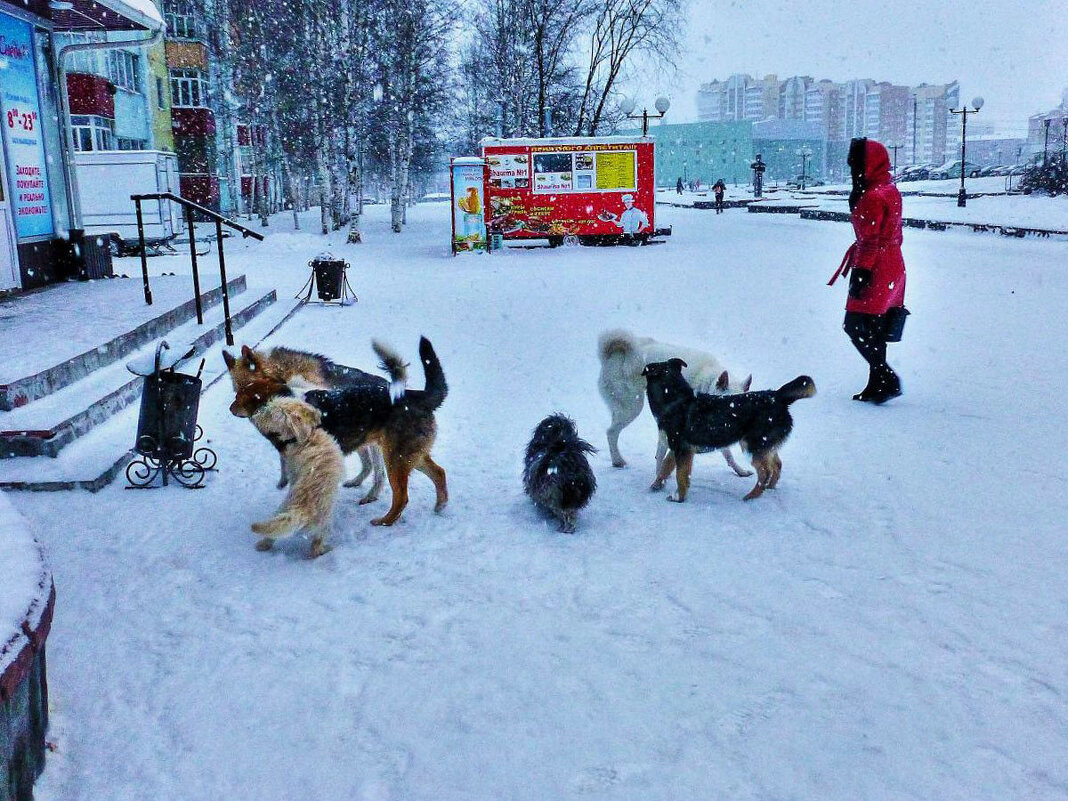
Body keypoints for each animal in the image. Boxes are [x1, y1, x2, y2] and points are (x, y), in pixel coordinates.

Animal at [231, 337, 448, 527]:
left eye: (239, 395)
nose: (230, 408)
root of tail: (417, 396)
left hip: (395, 458)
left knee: (400, 495)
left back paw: (384, 521)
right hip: (407, 455)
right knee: (438, 472)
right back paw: (439, 506)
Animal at [598, 331, 756, 480]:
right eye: (728, 406)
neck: (707, 384)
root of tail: (612, 355)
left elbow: (727, 454)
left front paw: (740, 471)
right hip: (632, 407)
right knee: (611, 432)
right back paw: (617, 460)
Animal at [640, 360, 815, 504]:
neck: (675, 398)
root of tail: (778, 396)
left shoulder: (682, 449)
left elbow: (681, 475)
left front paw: (679, 498)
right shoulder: (678, 448)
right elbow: (665, 467)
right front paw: (657, 485)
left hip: (752, 446)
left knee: (765, 472)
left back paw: (752, 496)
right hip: (765, 445)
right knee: (777, 465)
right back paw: (769, 487)